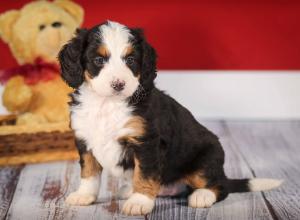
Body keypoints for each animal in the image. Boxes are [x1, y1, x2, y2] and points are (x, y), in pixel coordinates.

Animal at [58, 21, 282, 216]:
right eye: (99, 60)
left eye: (130, 60)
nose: (119, 84)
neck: (107, 104)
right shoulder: (85, 139)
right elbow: (89, 172)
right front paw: (84, 195)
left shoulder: (147, 143)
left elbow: (145, 174)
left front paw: (139, 202)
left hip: (206, 160)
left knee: (220, 187)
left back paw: (202, 196)